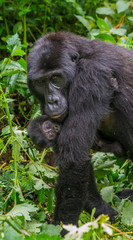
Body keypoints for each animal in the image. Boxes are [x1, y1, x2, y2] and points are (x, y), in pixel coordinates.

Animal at [27, 32, 133, 228]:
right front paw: (100, 210)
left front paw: (64, 228)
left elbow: (74, 159)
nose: (52, 101)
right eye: (40, 82)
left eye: (55, 78)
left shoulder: (91, 77)